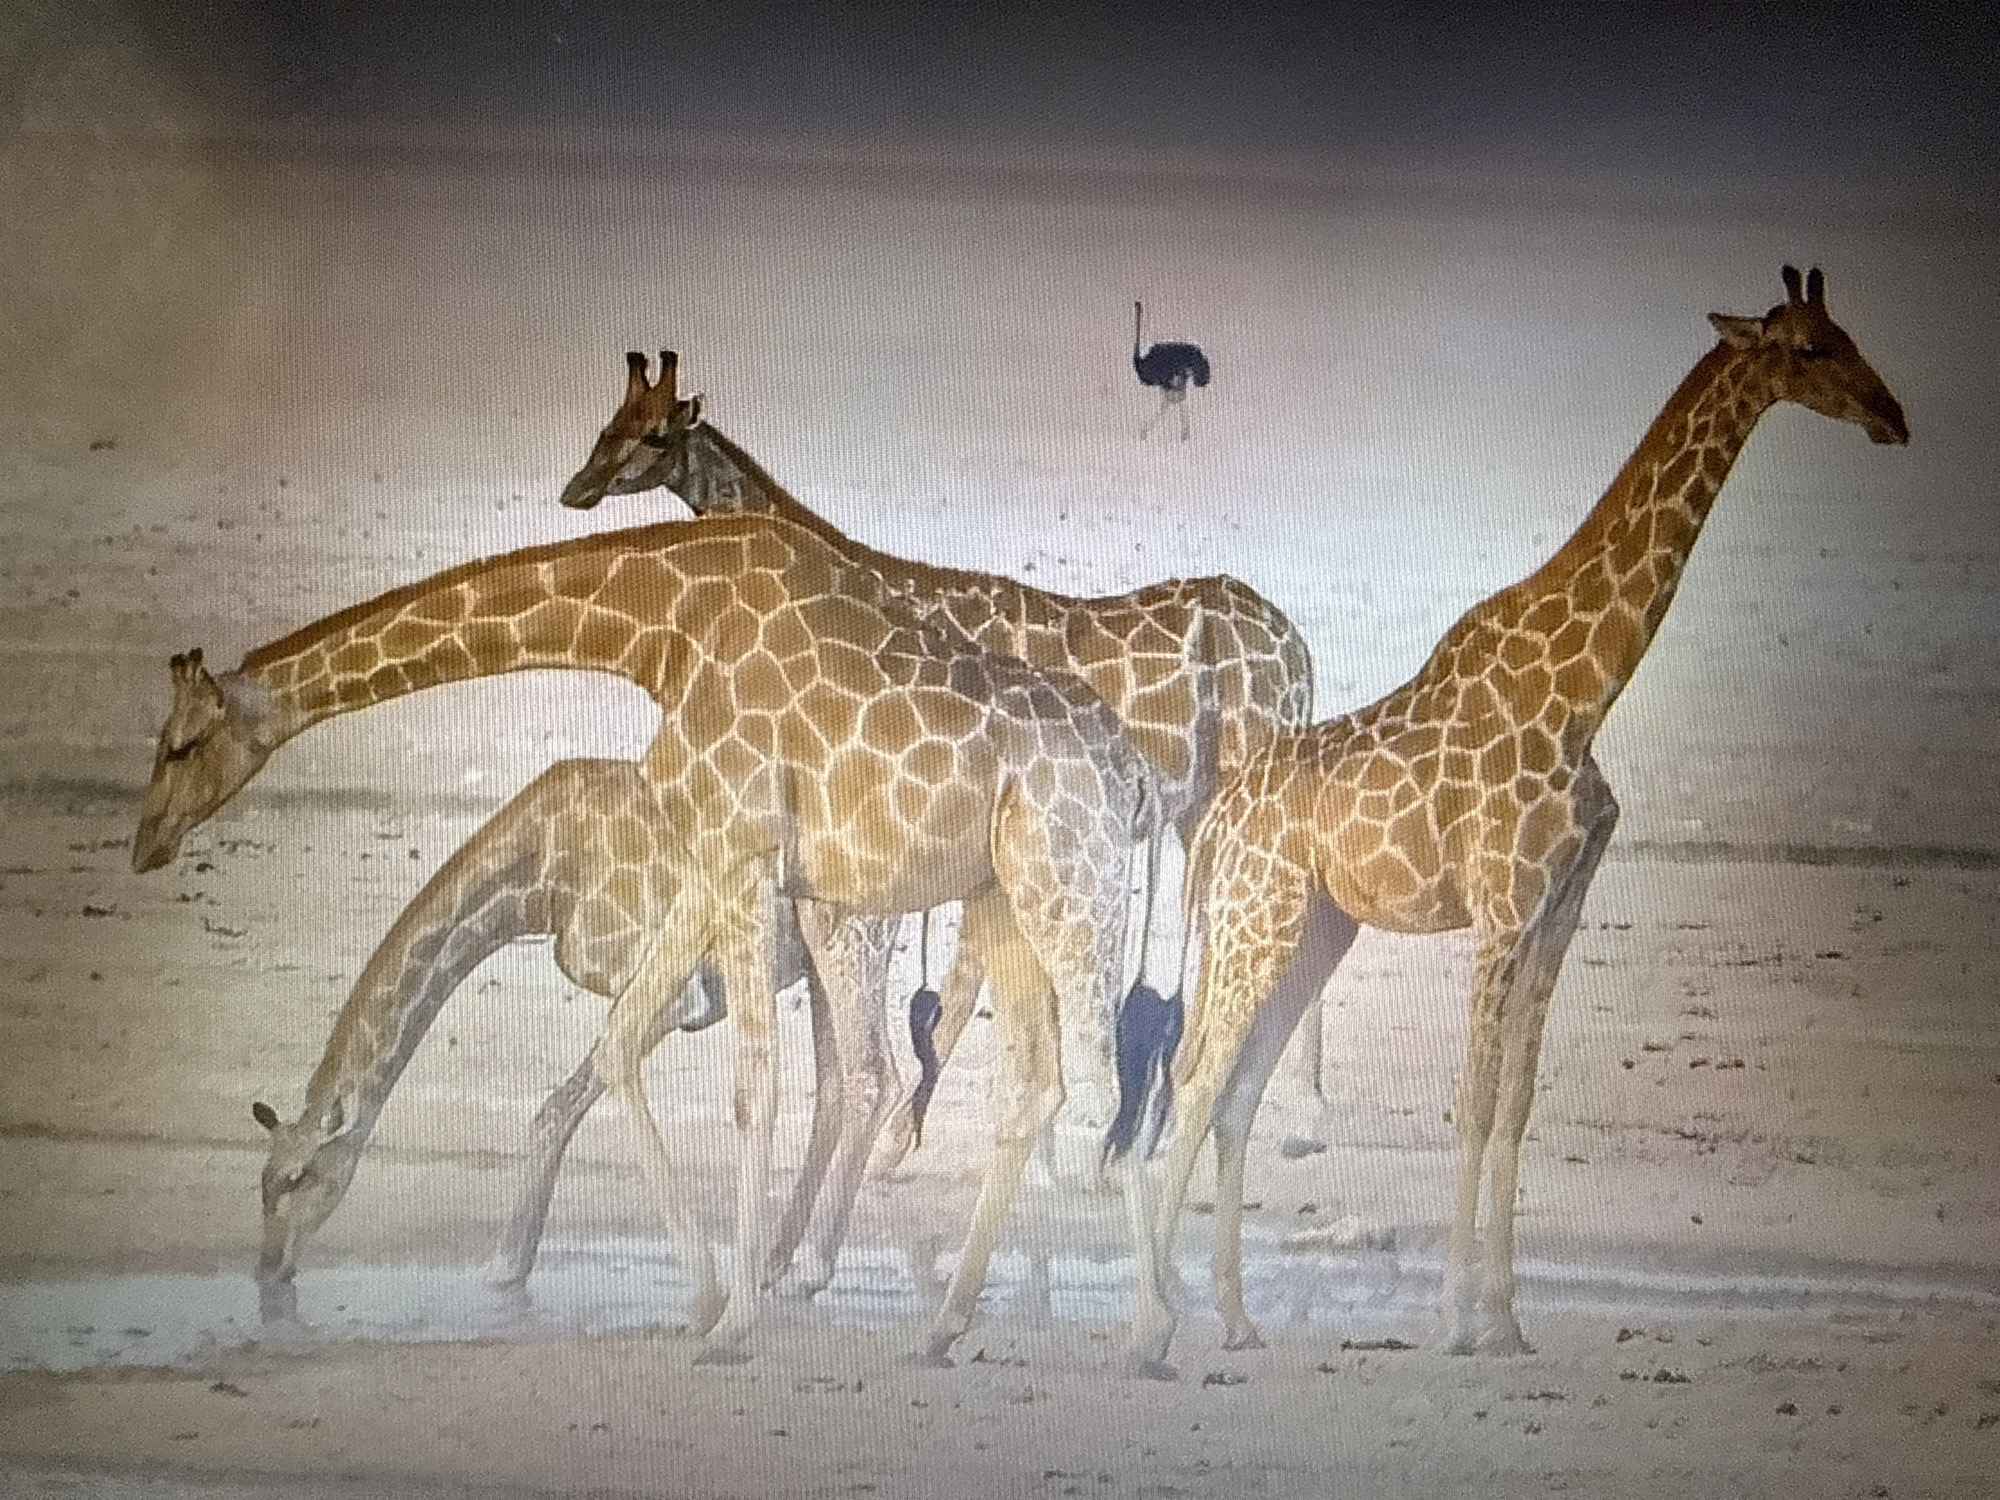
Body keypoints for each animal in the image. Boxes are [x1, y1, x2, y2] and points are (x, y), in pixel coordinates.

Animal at [250, 757, 898, 1331]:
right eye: (262, 1178)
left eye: (298, 1176)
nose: (268, 1271)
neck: (535, 880)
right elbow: (553, 1111)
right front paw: (504, 1271)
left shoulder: (678, 992)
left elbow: (592, 1082)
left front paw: (708, 1291)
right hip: (817, 949)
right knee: (837, 1084)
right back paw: (774, 1263)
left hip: (851, 927)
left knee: (875, 1074)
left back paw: (805, 1269)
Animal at [556, 350, 1320, 1155]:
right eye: (609, 422)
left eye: (656, 435)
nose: (576, 490)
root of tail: (1298, 648)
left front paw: (913, 1142)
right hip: (1204, 803)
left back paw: (1289, 1122)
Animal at [1125, 266, 1909, 1376]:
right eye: (1806, 349)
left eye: (1847, 333)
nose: (1892, 416)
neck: (1585, 692)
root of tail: (1223, 813)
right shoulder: (1498, 906)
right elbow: (1473, 1101)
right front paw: (1455, 1320)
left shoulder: (1557, 909)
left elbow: (1517, 1107)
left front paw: (1504, 1318)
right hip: (1255, 917)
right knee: (1194, 1080)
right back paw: (1154, 1324)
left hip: (1318, 928)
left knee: (1235, 1092)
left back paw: (1235, 1320)